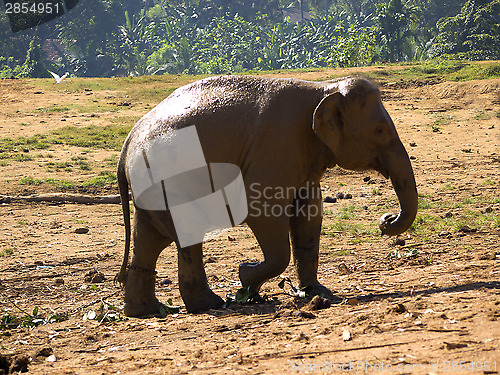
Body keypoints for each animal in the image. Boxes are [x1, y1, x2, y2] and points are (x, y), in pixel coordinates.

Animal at [116, 75, 418, 316]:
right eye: (379, 130)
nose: (386, 221)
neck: (322, 88)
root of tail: (127, 142)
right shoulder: (277, 146)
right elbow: (261, 210)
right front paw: (245, 276)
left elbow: (309, 214)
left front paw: (319, 293)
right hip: (166, 179)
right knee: (186, 232)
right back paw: (211, 304)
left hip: (152, 185)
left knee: (151, 238)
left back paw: (145, 311)